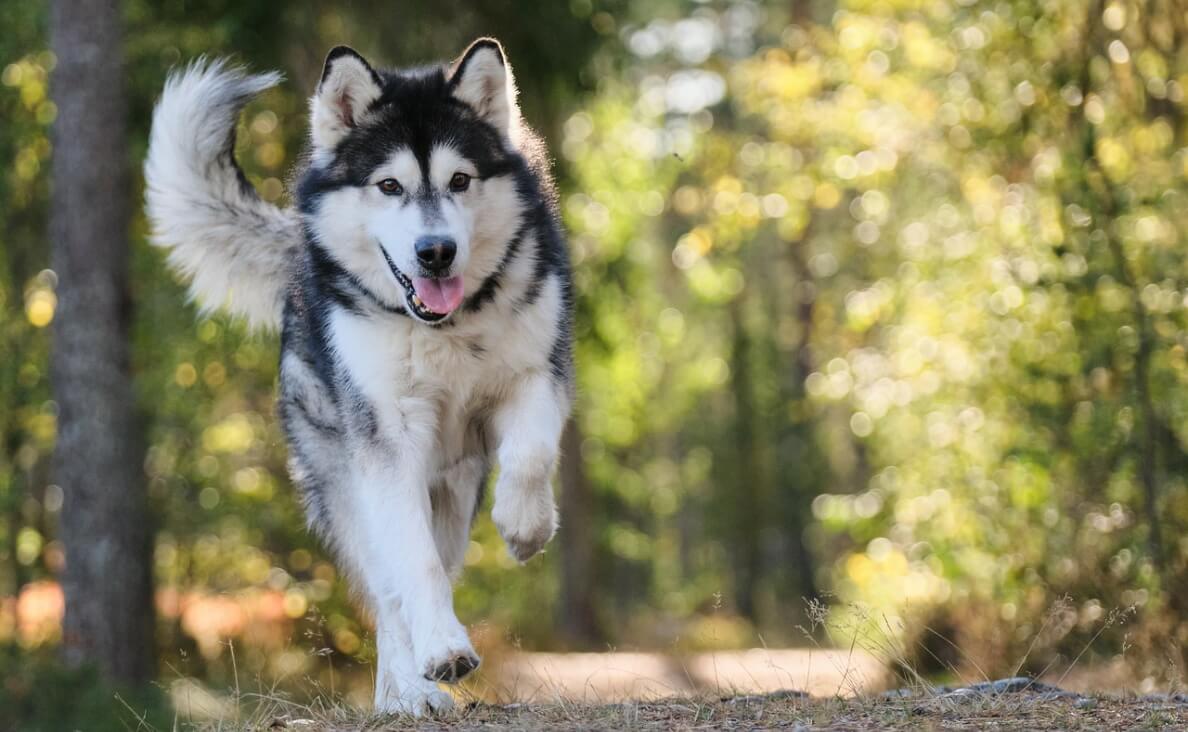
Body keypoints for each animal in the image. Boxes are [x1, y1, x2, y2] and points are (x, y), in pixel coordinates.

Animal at [146, 40, 572, 712]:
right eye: (389, 185)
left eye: (460, 180)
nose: (435, 252)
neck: (444, 329)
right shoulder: (388, 439)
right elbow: (414, 566)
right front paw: (441, 653)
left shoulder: (537, 373)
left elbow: (530, 455)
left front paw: (526, 529)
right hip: (351, 483)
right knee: (391, 591)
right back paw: (409, 692)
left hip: (452, 492)